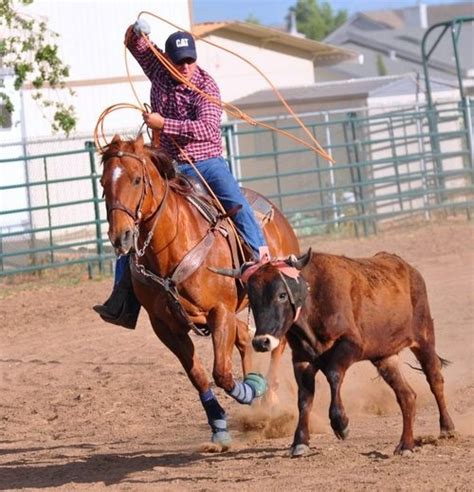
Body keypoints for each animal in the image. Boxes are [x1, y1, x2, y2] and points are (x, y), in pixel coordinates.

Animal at [99, 135, 300, 450]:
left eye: (136, 179)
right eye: (103, 182)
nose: (121, 237)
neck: (171, 246)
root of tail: (278, 216)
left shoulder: (220, 311)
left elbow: (222, 372)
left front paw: (250, 390)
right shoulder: (165, 325)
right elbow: (199, 375)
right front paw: (218, 427)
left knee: (276, 345)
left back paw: (267, 403)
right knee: (245, 338)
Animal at [244, 250, 456, 458]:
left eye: (281, 295)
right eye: (252, 301)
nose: (261, 341)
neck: (313, 302)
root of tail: (409, 269)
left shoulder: (352, 345)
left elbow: (333, 374)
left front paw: (341, 424)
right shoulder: (301, 360)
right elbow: (304, 400)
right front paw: (300, 442)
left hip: (424, 338)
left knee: (435, 380)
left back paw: (447, 428)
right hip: (386, 357)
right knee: (407, 395)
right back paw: (406, 444)